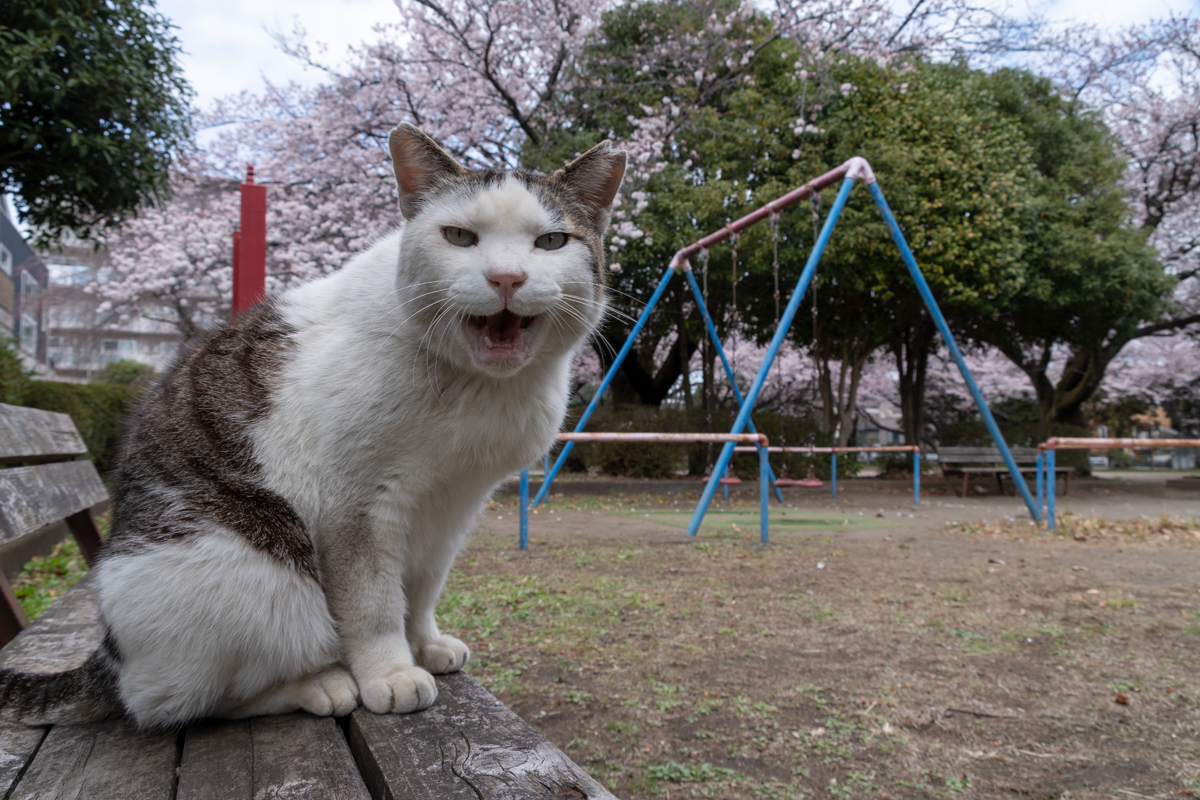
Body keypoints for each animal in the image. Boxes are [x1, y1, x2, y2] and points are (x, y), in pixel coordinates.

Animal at [0, 125, 624, 734]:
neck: (480, 390)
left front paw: (425, 644)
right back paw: (319, 684)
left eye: (551, 242)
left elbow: (422, 588)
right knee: (175, 703)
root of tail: (109, 652)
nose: (506, 278)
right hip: (251, 563)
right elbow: (374, 603)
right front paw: (391, 672)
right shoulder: (359, 506)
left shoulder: (453, 505)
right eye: (459, 237)